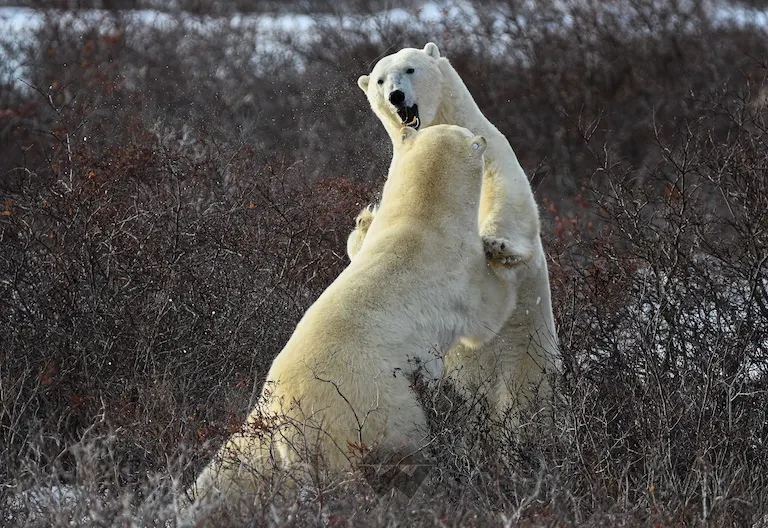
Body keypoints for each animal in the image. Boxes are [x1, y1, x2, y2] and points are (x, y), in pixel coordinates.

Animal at [189, 124, 521, 508]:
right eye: (472, 137)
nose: (484, 136)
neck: (422, 219)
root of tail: (278, 412)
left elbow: (356, 245)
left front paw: (364, 218)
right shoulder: (457, 272)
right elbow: (488, 314)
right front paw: (500, 252)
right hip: (367, 408)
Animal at [352, 42, 559, 419]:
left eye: (410, 69)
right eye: (379, 80)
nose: (396, 96)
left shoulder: (493, 154)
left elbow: (507, 200)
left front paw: (497, 246)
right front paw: (365, 222)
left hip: (527, 355)